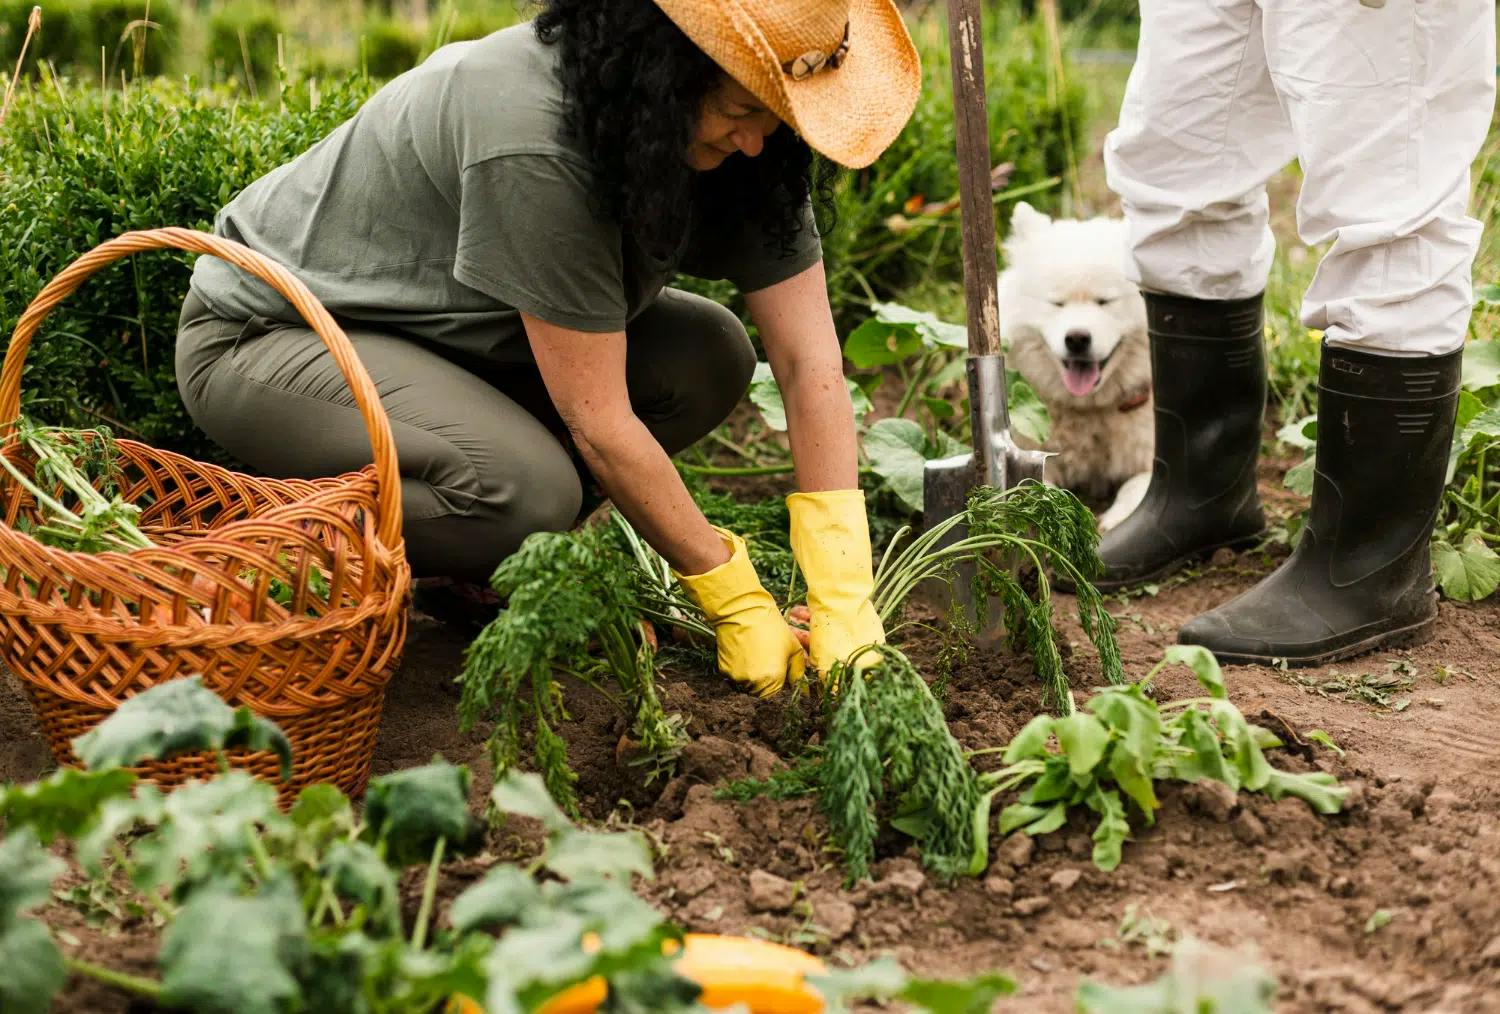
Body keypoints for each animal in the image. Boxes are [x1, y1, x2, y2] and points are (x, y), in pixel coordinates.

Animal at [1002, 198, 1152, 531]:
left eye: (1104, 301)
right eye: (1056, 303)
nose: (1078, 339)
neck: (1091, 408)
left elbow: (1137, 487)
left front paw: (1115, 521)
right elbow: (1041, 491)